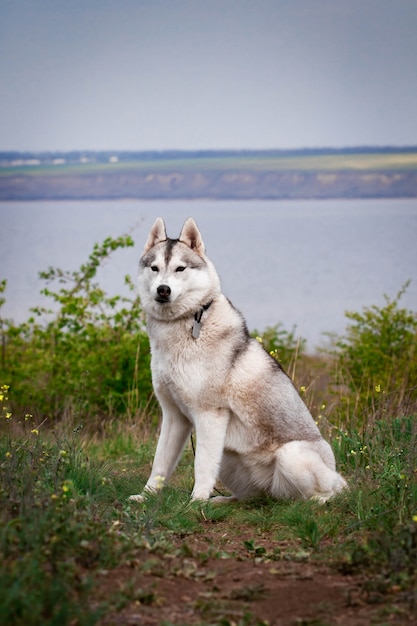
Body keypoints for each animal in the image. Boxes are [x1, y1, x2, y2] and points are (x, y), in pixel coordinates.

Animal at [129, 217, 344, 500]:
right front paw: (146, 496)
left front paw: (195, 501)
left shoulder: (209, 415)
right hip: (230, 462)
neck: (184, 324)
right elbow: (160, 463)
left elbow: (202, 465)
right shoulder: (175, 416)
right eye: (154, 268)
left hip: (291, 455)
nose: (163, 290)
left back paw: (318, 499)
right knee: (251, 499)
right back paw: (222, 501)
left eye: (180, 268)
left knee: (320, 493)